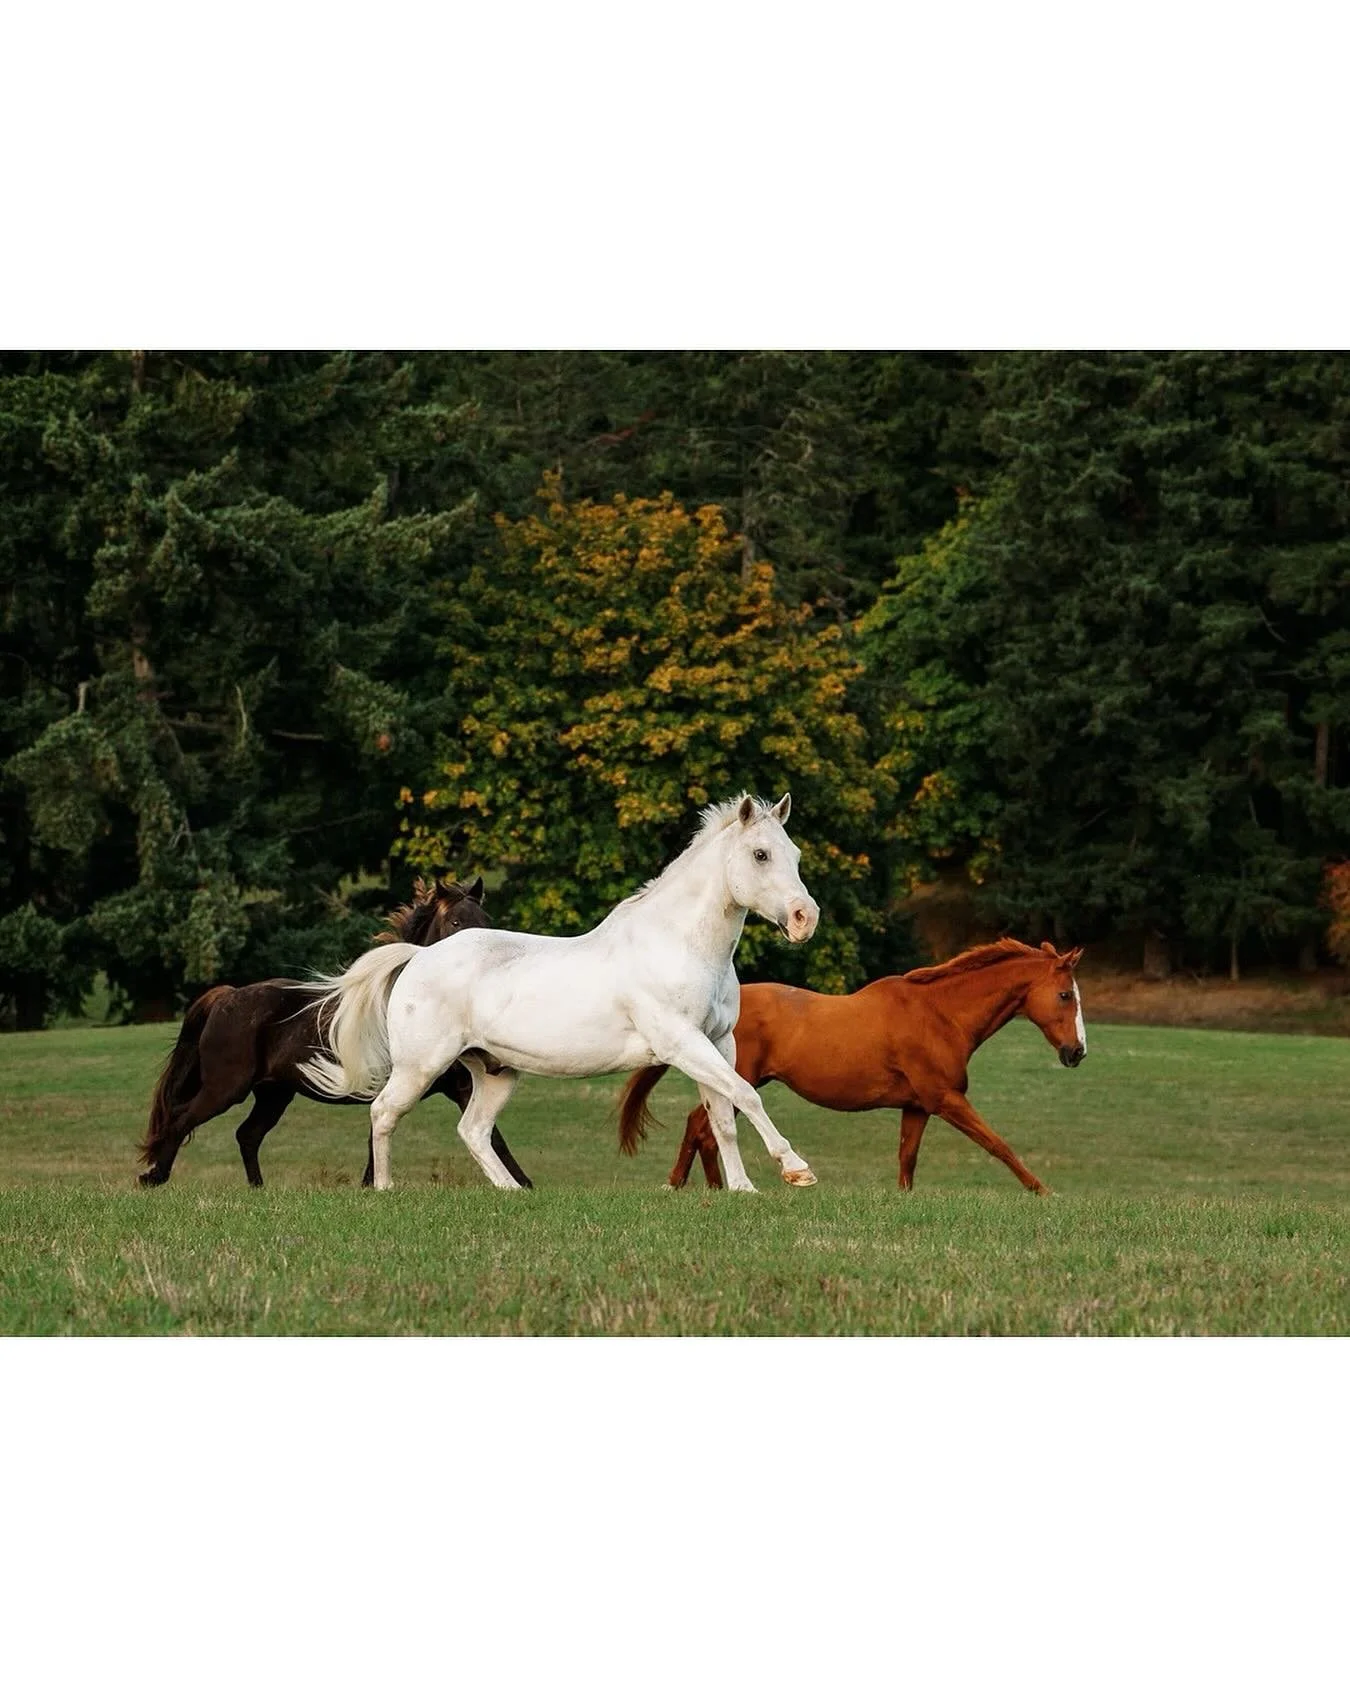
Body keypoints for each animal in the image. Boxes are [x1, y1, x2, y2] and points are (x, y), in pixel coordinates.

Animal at [138, 877, 532, 1190]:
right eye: (455, 921)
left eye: (485, 920)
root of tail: (227, 995)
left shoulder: (459, 1085)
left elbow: (490, 1135)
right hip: (226, 1088)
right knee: (183, 1118)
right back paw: (153, 1177)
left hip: (273, 1094)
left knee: (247, 1135)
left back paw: (257, 1189)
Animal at [300, 794, 822, 1193]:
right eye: (760, 854)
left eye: (794, 855)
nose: (805, 919)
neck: (680, 945)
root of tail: (418, 957)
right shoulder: (682, 1043)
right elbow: (745, 1096)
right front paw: (796, 1169)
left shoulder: (718, 1042)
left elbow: (725, 1116)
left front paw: (744, 1190)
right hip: (420, 1066)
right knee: (385, 1112)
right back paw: (385, 1189)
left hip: (495, 1072)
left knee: (473, 1130)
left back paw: (512, 1192)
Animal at [618, 938, 1087, 1195]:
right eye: (1065, 995)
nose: (1077, 1052)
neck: (939, 1014)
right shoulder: (946, 1099)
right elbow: (998, 1144)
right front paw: (1042, 1190)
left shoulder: (917, 1107)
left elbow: (907, 1160)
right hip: (739, 1081)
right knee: (701, 1127)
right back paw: (686, 1184)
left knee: (704, 1128)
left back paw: (714, 1187)